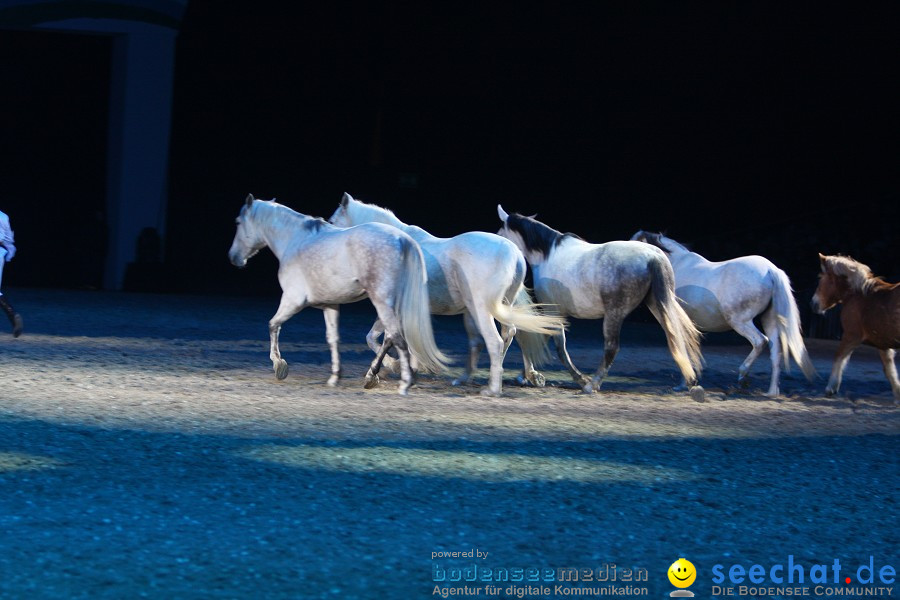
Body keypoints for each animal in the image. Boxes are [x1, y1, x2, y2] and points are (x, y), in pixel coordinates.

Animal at [229, 195, 446, 396]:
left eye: (238, 222)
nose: (233, 258)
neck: (295, 240)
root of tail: (403, 239)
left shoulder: (293, 300)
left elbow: (273, 325)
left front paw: (279, 365)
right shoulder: (329, 305)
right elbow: (332, 339)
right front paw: (335, 377)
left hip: (382, 302)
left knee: (396, 338)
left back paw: (402, 382)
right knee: (391, 339)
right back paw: (375, 376)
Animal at [330, 195, 568, 396]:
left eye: (332, 221)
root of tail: (514, 254)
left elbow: (375, 338)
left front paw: (382, 371)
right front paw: (407, 370)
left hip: (482, 311)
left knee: (495, 341)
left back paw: (492, 389)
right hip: (490, 309)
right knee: (502, 336)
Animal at [496, 206, 708, 398]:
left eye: (500, 231)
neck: (547, 255)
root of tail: (653, 258)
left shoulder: (553, 311)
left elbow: (557, 346)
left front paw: (578, 379)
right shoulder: (555, 313)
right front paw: (529, 376)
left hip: (614, 314)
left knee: (611, 347)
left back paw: (592, 385)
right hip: (658, 306)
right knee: (676, 336)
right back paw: (690, 382)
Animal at [632, 232, 816, 396]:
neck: (674, 265)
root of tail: (771, 270)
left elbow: (682, 347)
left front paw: (685, 383)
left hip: (740, 321)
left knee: (760, 341)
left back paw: (742, 377)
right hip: (768, 320)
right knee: (775, 353)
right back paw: (770, 393)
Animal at [812, 254, 896, 404]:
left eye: (821, 279)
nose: (813, 304)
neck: (857, 295)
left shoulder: (851, 336)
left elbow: (839, 356)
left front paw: (831, 388)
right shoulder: (882, 343)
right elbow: (889, 369)